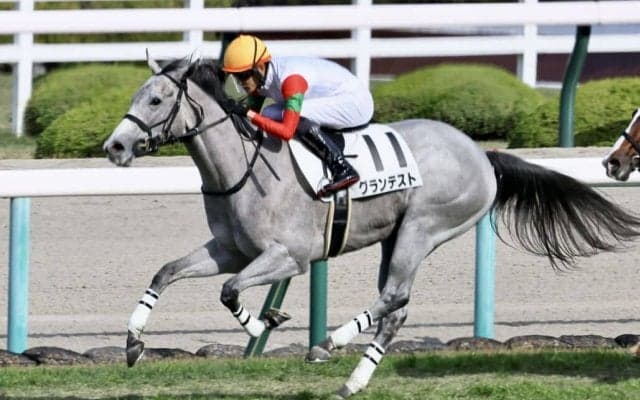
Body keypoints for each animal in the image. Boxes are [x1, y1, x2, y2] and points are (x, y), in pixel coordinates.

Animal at [104, 58, 640, 398]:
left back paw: (328, 345)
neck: (245, 167)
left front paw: (264, 323)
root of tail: (482, 155)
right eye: (138, 96)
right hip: (395, 235)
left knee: (394, 298)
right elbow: (167, 272)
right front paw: (133, 344)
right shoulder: (229, 250)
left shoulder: (289, 257)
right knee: (395, 309)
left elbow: (230, 290)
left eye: (156, 100)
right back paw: (352, 381)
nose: (114, 147)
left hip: (421, 229)